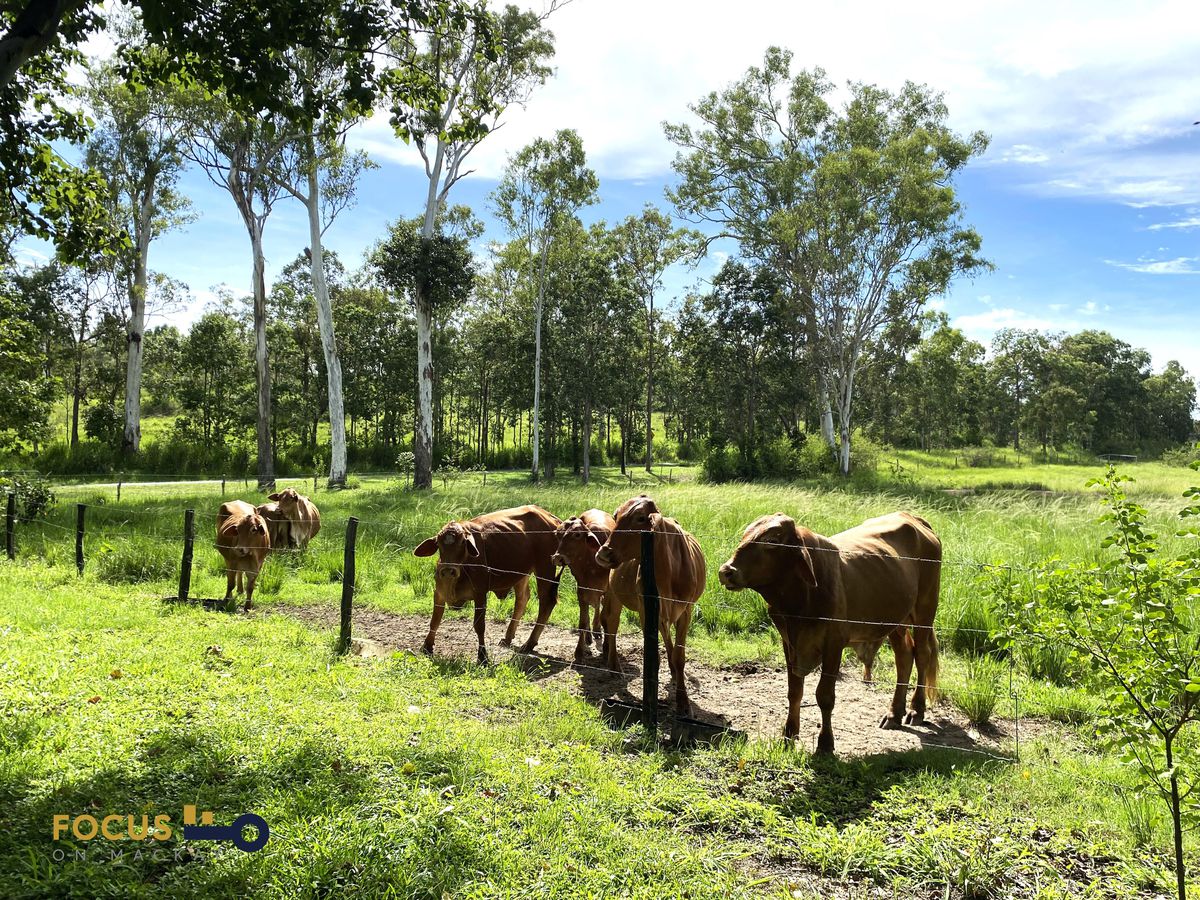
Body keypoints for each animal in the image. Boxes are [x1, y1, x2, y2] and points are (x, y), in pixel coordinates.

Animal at [412, 508, 561, 662]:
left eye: (463, 543)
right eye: (439, 544)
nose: (448, 570)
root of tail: (548, 516)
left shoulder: (480, 594)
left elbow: (479, 626)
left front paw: (482, 656)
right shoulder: (439, 593)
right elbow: (434, 620)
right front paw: (426, 647)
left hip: (545, 569)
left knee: (546, 602)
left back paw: (529, 643)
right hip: (521, 573)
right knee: (522, 599)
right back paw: (508, 638)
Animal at [549, 511, 614, 657]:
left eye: (577, 534)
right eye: (558, 534)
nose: (557, 558)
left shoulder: (608, 591)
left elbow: (605, 618)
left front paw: (607, 648)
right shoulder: (581, 590)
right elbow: (583, 622)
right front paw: (579, 650)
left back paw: (596, 630)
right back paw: (590, 635)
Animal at [595, 496, 705, 715]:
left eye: (640, 518)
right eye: (616, 516)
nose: (603, 554)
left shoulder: (685, 611)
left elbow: (679, 656)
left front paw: (683, 702)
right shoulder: (645, 609)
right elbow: (652, 656)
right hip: (614, 595)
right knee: (611, 624)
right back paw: (614, 666)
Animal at [715, 513, 940, 753]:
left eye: (772, 540)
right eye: (745, 534)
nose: (726, 572)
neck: (799, 601)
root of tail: (913, 518)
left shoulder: (833, 645)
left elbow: (824, 696)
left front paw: (825, 743)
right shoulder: (789, 643)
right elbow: (795, 691)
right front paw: (789, 734)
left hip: (925, 612)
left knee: (922, 655)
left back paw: (916, 709)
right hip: (897, 620)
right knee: (904, 657)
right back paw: (893, 713)